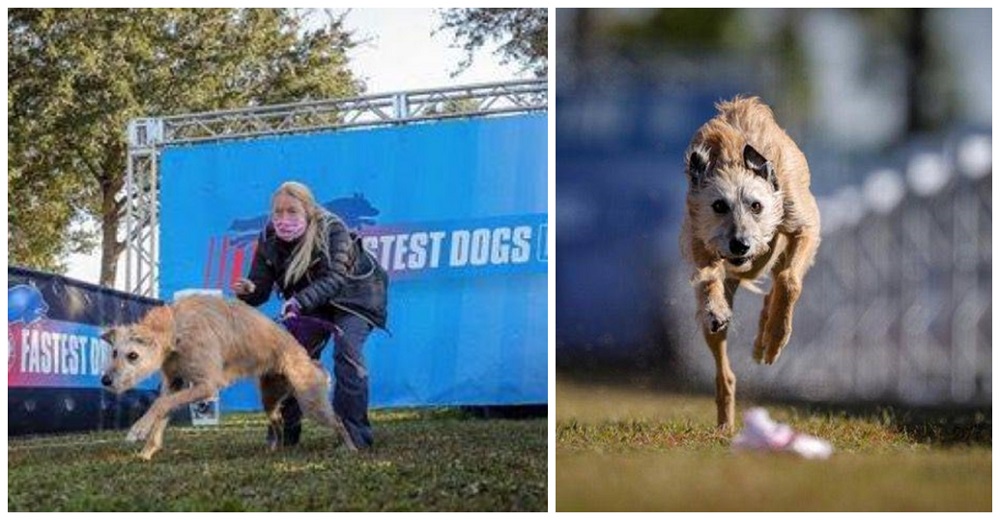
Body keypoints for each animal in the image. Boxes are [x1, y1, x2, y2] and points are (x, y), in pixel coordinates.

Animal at [101, 294, 352, 462]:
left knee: (338, 421)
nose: (104, 381)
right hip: (270, 399)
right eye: (114, 353)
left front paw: (138, 430)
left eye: (132, 355)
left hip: (311, 402)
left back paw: (350, 449)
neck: (178, 330)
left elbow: (160, 404)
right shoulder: (175, 385)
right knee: (279, 422)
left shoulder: (207, 386)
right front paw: (147, 451)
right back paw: (274, 450)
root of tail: (304, 355)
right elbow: (162, 408)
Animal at [680, 95, 820, 432]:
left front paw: (777, 337)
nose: (740, 244)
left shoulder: (802, 221)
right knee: (724, 371)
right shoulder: (699, 233)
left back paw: (764, 337)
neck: (734, 157)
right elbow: (707, 275)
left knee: (777, 281)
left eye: (756, 205)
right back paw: (725, 421)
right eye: (719, 205)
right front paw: (715, 308)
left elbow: (789, 280)